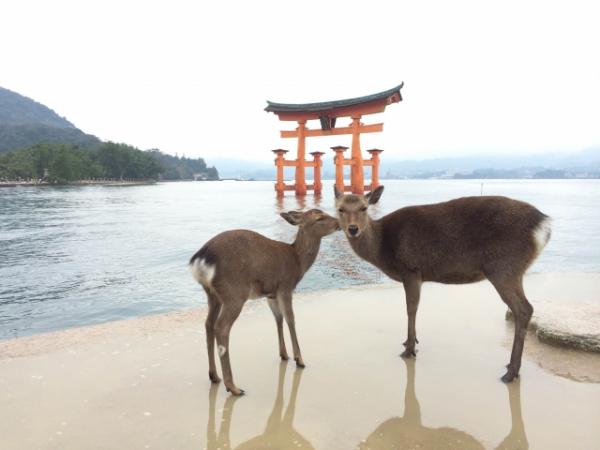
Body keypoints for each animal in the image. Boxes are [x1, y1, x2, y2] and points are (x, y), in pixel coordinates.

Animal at [190, 209, 340, 396]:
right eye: (319, 218)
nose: (339, 223)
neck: (298, 263)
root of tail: (201, 258)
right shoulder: (285, 286)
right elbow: (290, 319)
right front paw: (299, 359)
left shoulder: (271, 294)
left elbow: (278, 319)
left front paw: (284, 354)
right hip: (234, 293)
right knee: (221, 327)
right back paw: (233, 387)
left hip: (212, 295)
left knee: (208, 324)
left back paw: (214, 377)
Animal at [336, 185, 552, 382]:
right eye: (340, 209)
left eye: (364, 208)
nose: (353, 229)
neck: (383, 248)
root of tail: (544, 225)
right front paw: (409, 342)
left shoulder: (411, 269)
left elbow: (411, 308)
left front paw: (409, 349)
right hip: (515, 270)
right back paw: (510, 367)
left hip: (503, 267)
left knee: (523, 309)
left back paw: (511, 372)